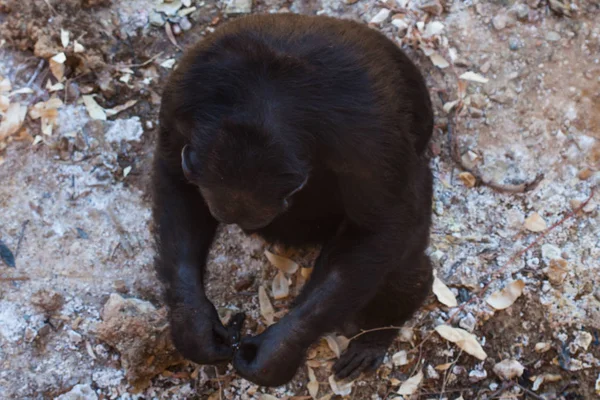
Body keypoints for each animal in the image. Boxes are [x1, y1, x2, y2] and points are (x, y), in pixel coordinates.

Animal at [152, 13, 434, 388]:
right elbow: (175, 181)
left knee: (400, 250)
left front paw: (277, 351)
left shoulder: (368, 145)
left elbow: (378, 228)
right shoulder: (180, 98)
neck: (265, 98)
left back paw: (379, 329)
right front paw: (195, 326)